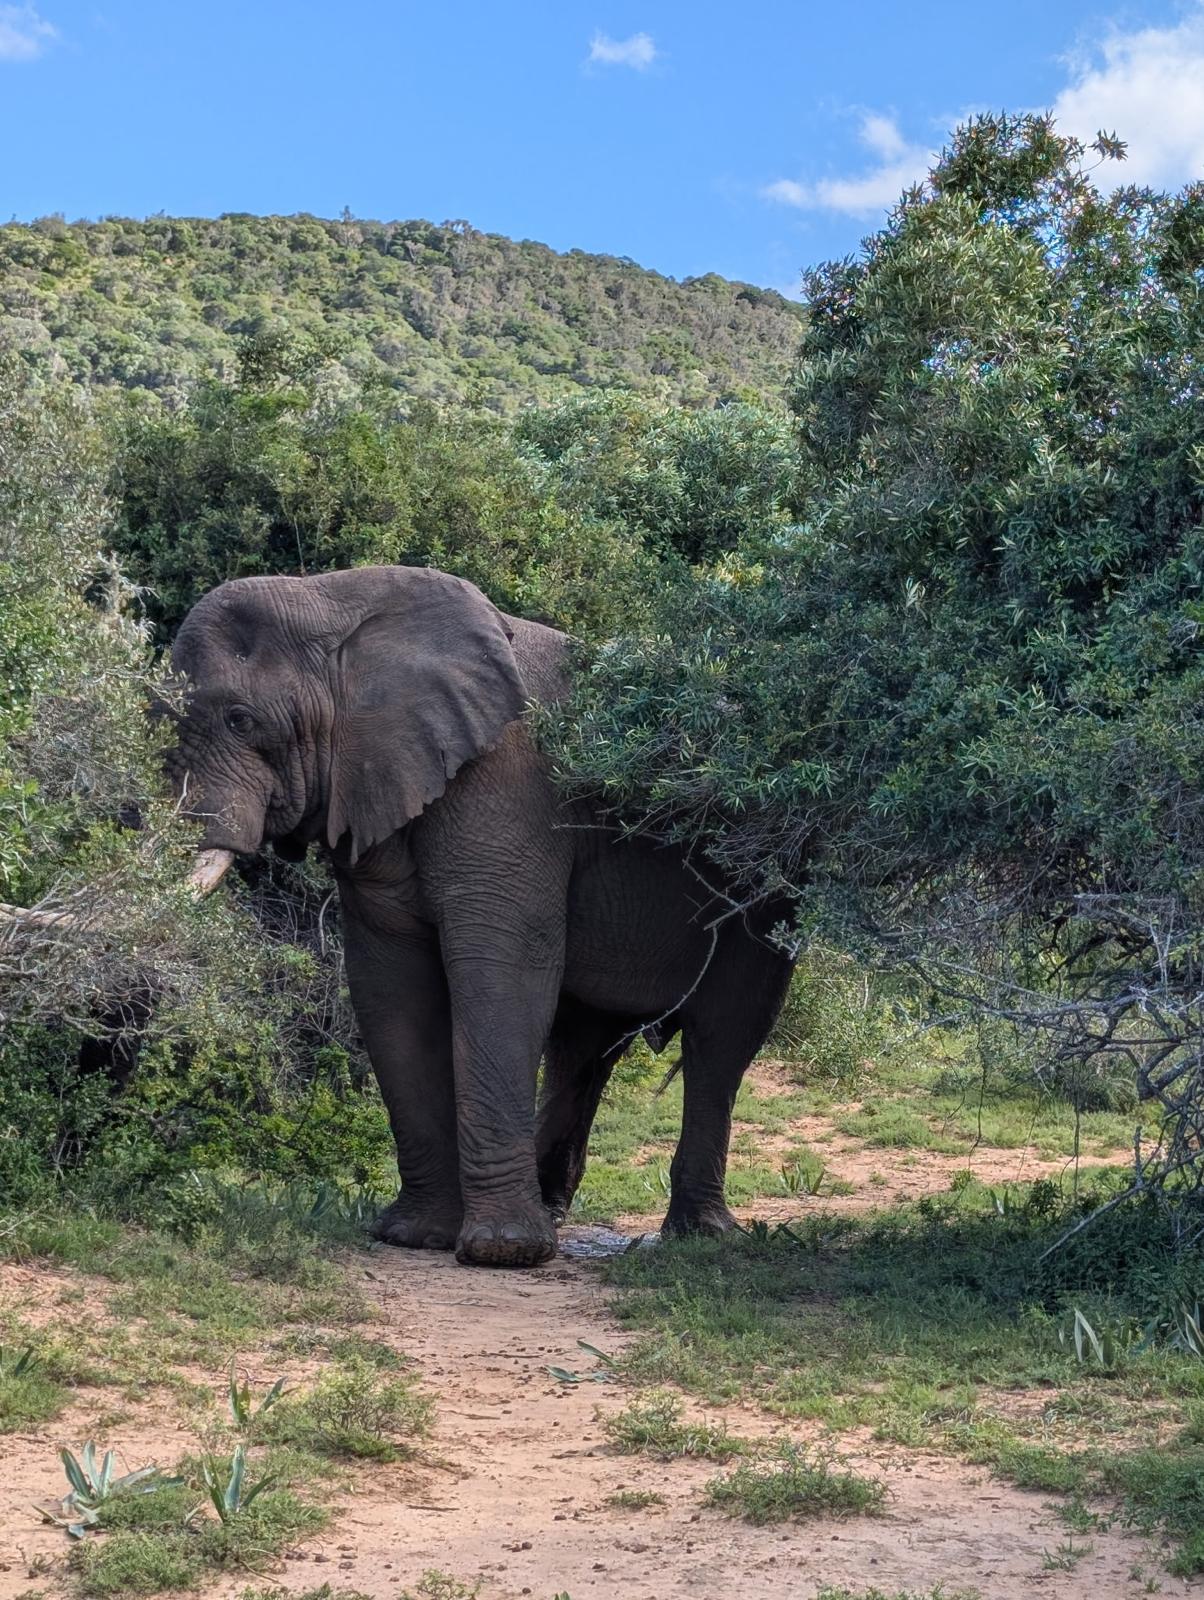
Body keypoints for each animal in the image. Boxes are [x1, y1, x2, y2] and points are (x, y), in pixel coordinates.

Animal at [168, 565, 795, 1267]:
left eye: (240, 719)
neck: (335, 600)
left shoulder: (507, 789)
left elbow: (502, 973)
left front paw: (504, 1253)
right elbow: (392, 987)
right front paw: (415, 1236)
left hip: (764, 892)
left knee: (724, 1033)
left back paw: (700, 1235)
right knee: (584, 1043)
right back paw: (555, 1208)